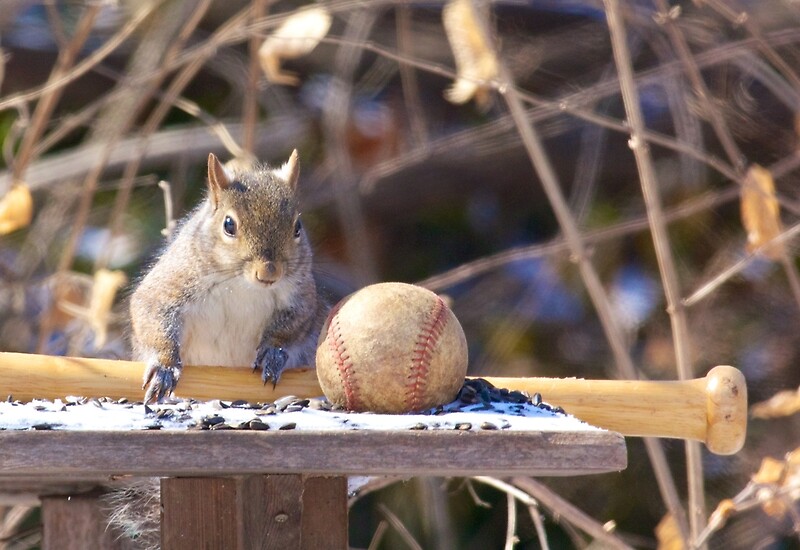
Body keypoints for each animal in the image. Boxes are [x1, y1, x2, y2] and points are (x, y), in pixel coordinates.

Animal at [130, 150, 327, 402]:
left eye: (297, 227)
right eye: (229, 225)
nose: (269, 272)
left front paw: (273, 352)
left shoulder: (301, 299)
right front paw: (164, 367)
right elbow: (153, 313)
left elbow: (292, 325)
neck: (241, 285)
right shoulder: (171, 285)